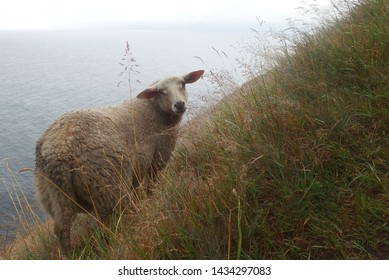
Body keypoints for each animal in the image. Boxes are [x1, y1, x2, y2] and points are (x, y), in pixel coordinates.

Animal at [34, 69, 203, 254]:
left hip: (55, 196)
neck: (153, 110)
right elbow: (151, 186)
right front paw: (151, 200)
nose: (179, 104)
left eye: (183, 84)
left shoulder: (137, 170)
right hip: (106, 185)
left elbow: (137, 190)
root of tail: (59, 149)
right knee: (101, 223)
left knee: (61, 230)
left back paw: (69, 255)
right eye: (161, 92)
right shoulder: (157, 158)